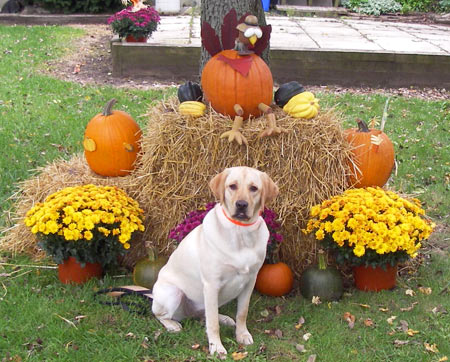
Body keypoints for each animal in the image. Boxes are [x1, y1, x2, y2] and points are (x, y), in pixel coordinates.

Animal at [151, 166, 278, 356]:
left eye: (254, 188)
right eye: (232, 186)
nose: (241, 205)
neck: (240, 231)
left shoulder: (250, 281)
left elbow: (242, 313)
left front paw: (242, 335)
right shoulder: (211, 284)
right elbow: (212, 324)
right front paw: (216, 347)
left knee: (204, 313)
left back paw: (224, 318)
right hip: (173, 293)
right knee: (162, 315)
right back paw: (173, 325)